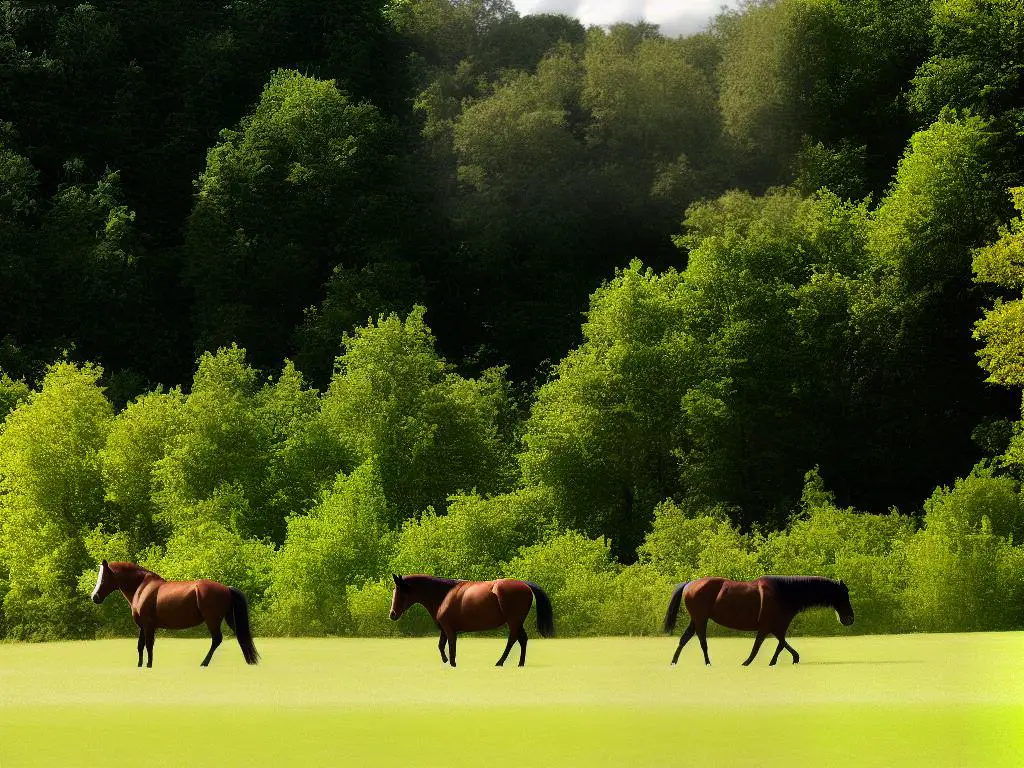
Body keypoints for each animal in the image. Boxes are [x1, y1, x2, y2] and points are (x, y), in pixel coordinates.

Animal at [89, 561, 260, 667]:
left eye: (103, 578)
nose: (94, 597)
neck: (141, 588)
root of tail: (227, 588)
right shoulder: (142, 626)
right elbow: (140, 646)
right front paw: (140, 665)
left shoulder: (149, 626)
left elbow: (149, 645)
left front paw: (149, 665)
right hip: (229, 618)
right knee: (240, 635)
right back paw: (249, 661)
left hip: (212, 620)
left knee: (217, 639)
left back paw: (204, 663)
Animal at [389, 573, 552, 671]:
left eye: (401, 593)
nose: (392, 614)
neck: (444, 594)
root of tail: (525, 585)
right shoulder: (444, 629)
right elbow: (441, 646)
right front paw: (446, 660)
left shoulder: (449, 629)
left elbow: (451, 646)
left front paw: (453, 664)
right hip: (518, 622)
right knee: (523, 639)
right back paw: (520, 664)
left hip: (513, 621)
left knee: (513, 639)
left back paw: (500, 662)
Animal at [659, 577, 851, 667]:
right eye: (844, 594)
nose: (849, 618)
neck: (784, 594)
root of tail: (689, 584)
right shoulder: (768, 626)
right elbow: (760, 645)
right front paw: (747, 662)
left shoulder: (777, 626)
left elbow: (781, 644)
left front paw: (783, 660)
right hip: (700, 619)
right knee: (701, 641)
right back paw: (707, 663)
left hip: (697, 619)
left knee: (685, 639)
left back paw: (674, 662)